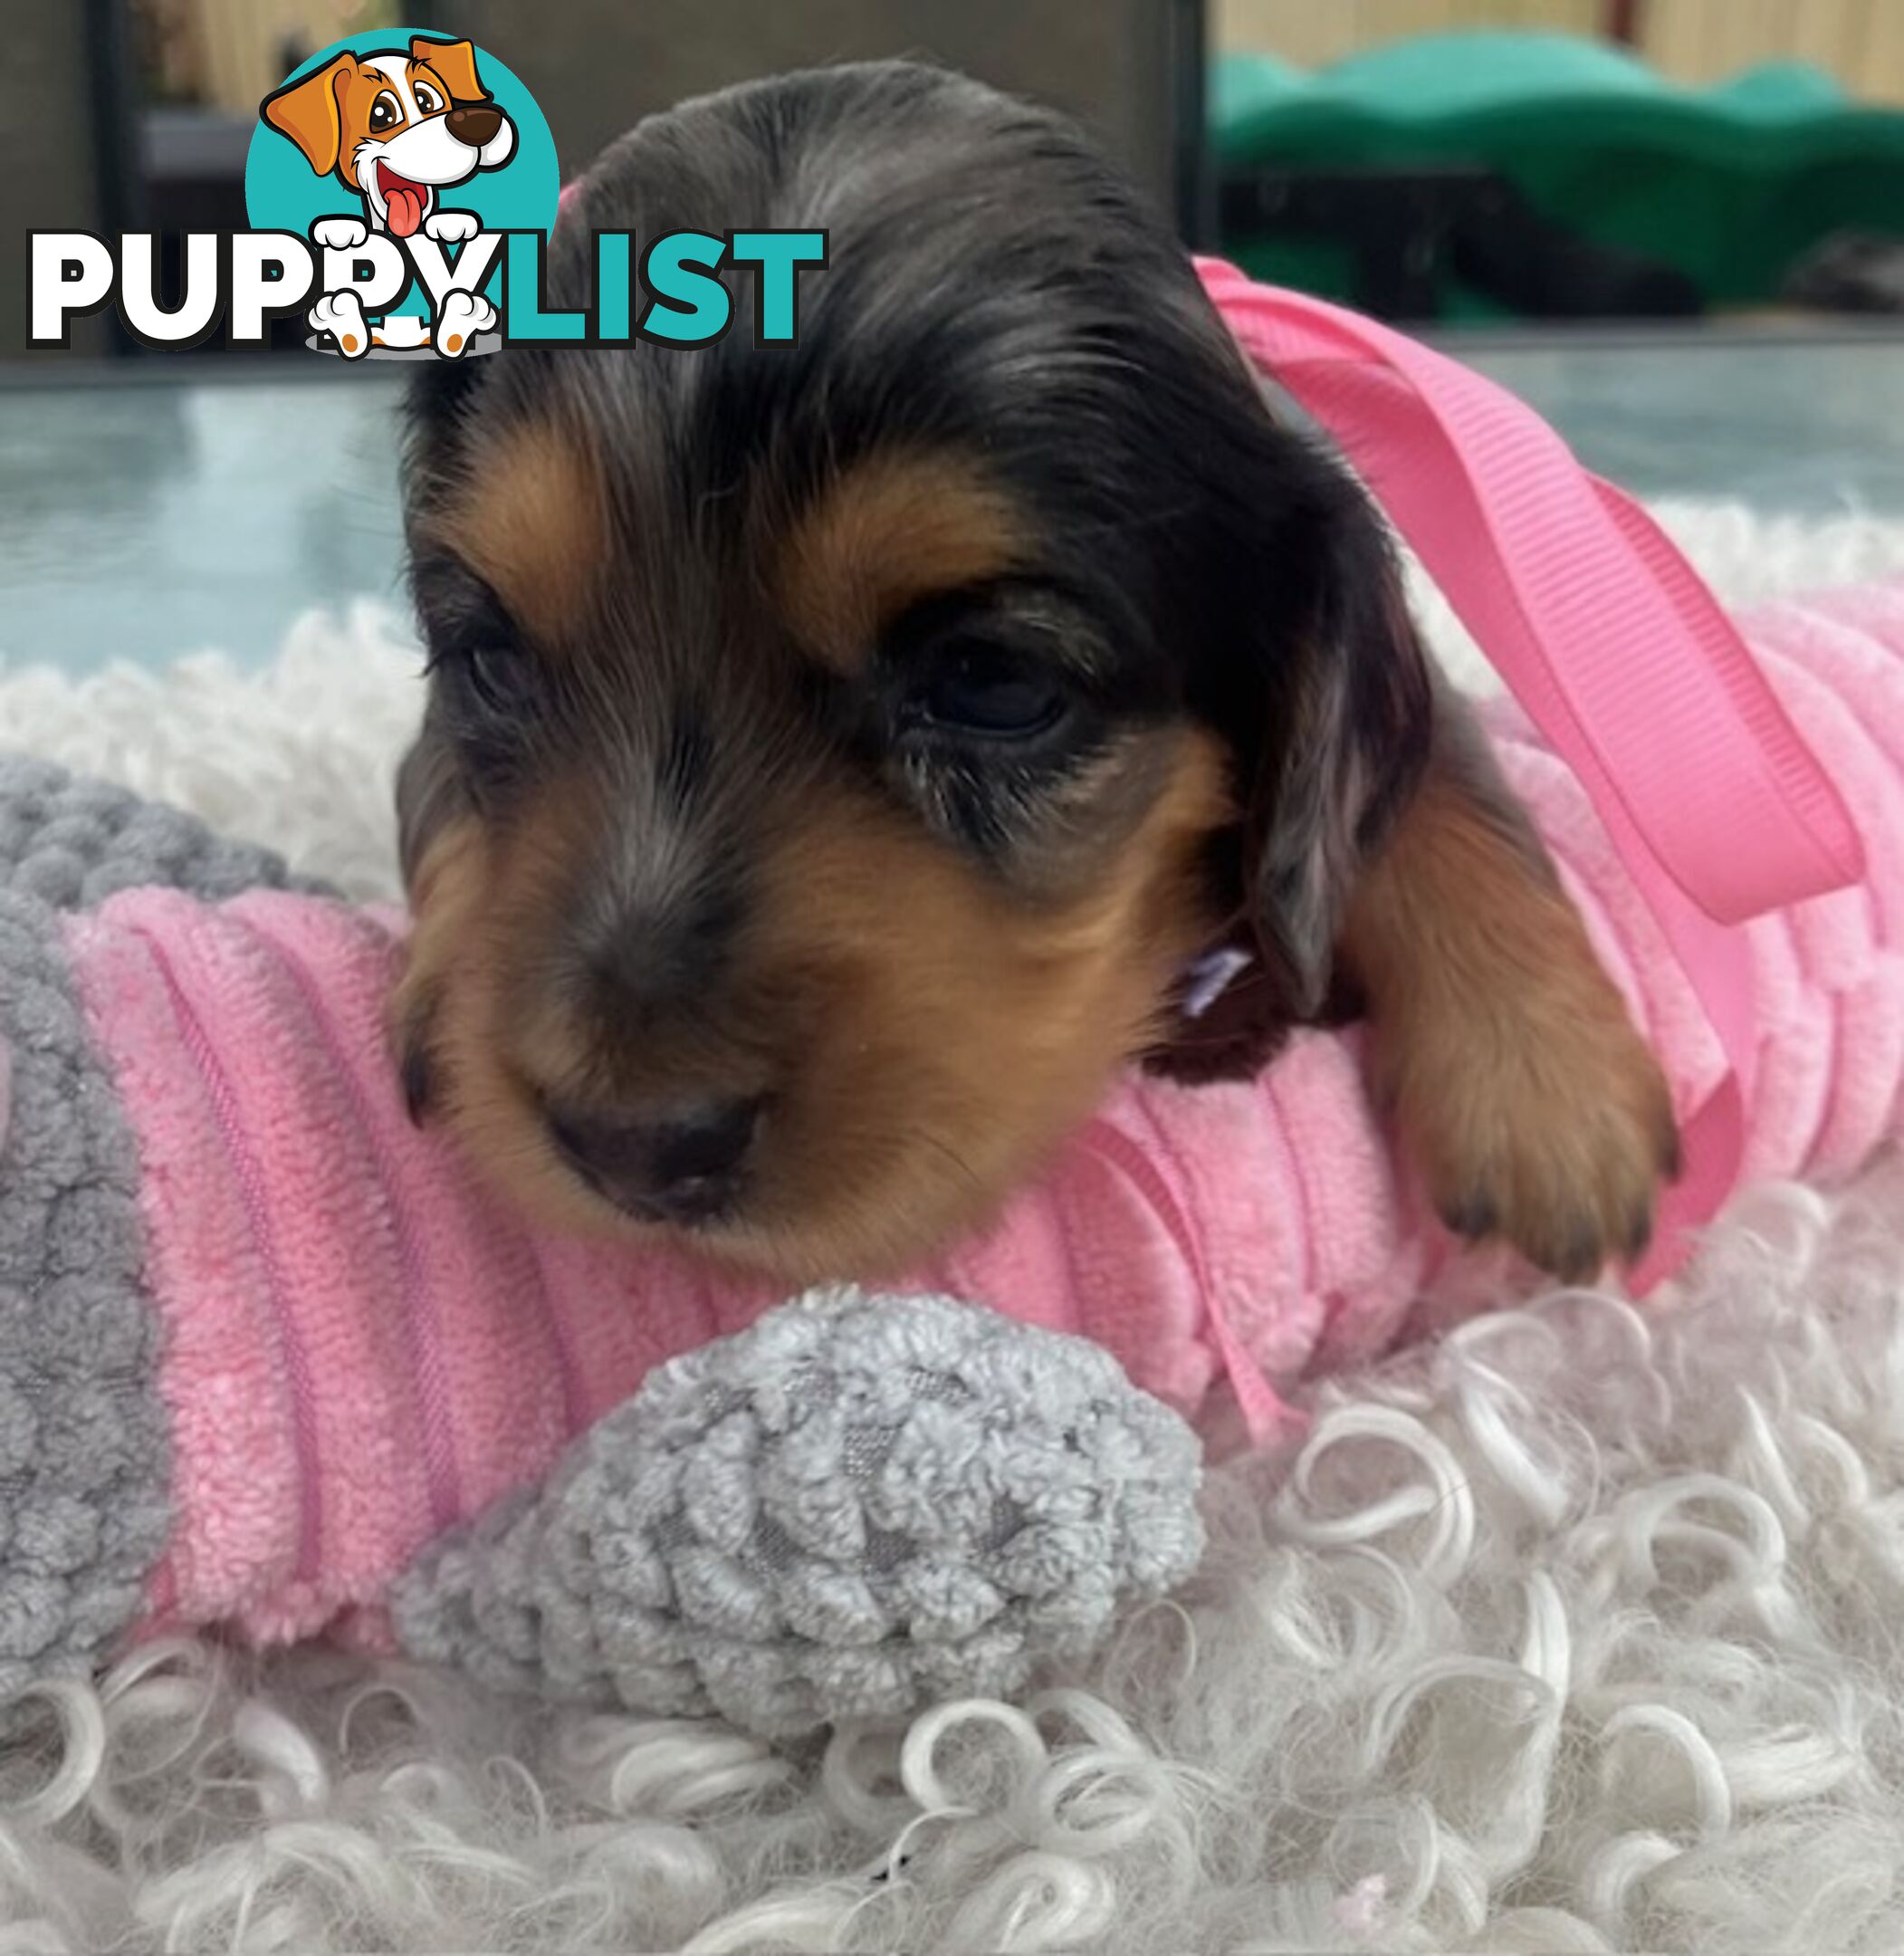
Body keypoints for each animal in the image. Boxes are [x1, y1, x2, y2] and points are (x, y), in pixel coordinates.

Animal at [395, 57, 1673, 1282]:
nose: (636, 1151)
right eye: (493, 663)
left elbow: (1444, 769)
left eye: (991, 682)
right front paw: (436, 977)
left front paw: (1549, 1086)